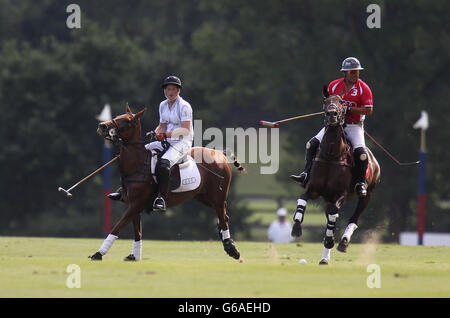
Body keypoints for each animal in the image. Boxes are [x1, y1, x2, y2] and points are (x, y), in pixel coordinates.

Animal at [90, 103, 244, 260]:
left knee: (223, 217)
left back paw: (231, 249)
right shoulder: (133, 204)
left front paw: (98, 253)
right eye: (117, 116)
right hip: (202, 196)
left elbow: (117, 228)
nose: (102, 126)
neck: (137, 165)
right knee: (224, 215)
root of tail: (220, 154)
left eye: (127, 121)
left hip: (217, 196)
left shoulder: (136, 204)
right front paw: (134, 256)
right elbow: (137, 232)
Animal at [292, 88, 380, 264]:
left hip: (366, 195)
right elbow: (303, 199)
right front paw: (296, 228)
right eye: (325, 101)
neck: (331, 155)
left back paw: (343, 243)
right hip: (328, 198)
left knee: (353, 218)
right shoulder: (313, 189)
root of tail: (374, 159)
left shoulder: (341, 194)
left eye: (341, 102)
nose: (332, 114)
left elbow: (333, 218)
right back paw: (325, 258)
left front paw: (331, 241)